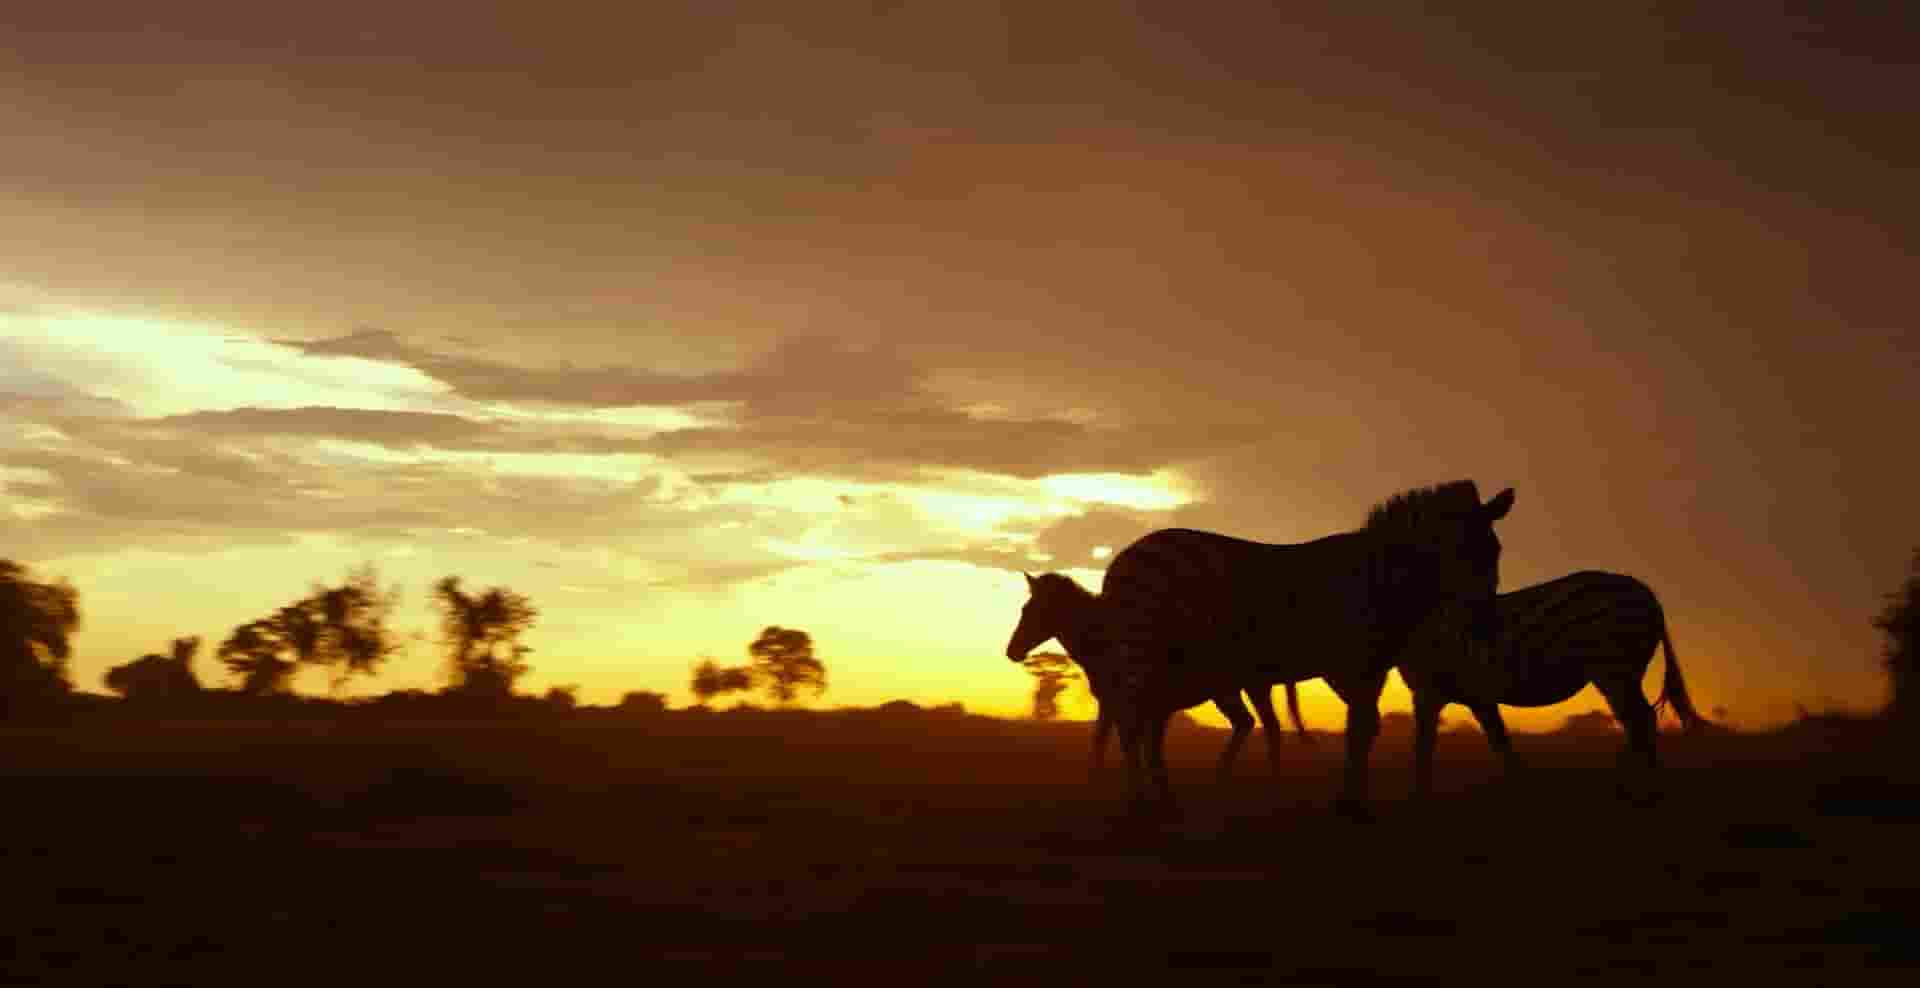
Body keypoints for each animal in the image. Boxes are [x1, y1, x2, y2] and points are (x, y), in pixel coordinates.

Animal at [1006, 571, 1305, 790]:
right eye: (1024, 608)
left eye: (1033, 610)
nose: (1012, 651)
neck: (1108, 640)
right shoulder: (1114, 704)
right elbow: (1107, 742)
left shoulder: (1137, 706)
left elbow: (1135, 748)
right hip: (1226, 693)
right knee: (1247, 723)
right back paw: (1220, 777)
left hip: (1254, 688)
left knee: (1269, 727)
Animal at [1098, 481, 1512, 821]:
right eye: (1462, 551)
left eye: (1496, 552)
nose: (1487, 626)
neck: (1380, 579)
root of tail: (1121, 560)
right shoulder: (1351, 664)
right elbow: (1358, 727)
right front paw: (1351, 805)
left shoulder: (1370, 667)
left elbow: (1365, 727)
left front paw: (1353, 802)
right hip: (1145, 652)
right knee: (1131, 722)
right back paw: (1139, 804)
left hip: (1167, 665)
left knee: (1149, 725)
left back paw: (1165, 801)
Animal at [1397, 567, 1712, 801]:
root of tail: (1648, 593)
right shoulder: (1477, 697)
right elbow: (1500, 743)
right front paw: (1516, 788)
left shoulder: (1428, 693)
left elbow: (1423, 746)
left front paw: (1419, 799)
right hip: (1622, 673)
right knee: (1636, 721)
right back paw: (1640, 786)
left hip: (1613, 669)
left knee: (1639, 720)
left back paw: (1644, 790)